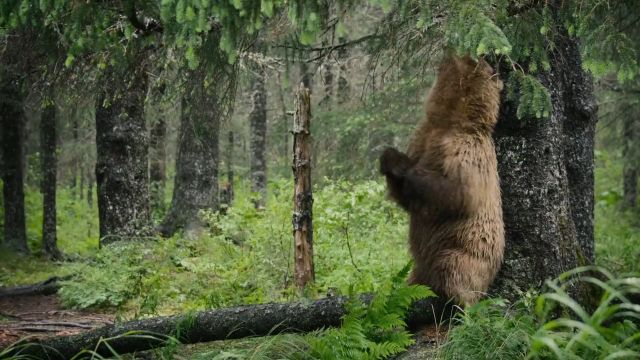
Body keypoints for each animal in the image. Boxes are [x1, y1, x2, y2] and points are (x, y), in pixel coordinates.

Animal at [380, 54, 504, 306]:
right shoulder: (421, 138)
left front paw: (407, 169)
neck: (449, 120)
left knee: (454, 271)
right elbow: (406, 198)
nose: (483, 55)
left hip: (462, 251)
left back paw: (457, 299)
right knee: (411, 283)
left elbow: (458, 193)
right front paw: (389, 158)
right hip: (418, 268)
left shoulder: (467, 151)